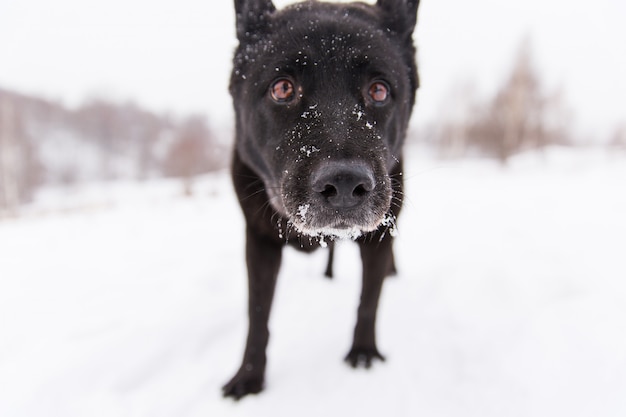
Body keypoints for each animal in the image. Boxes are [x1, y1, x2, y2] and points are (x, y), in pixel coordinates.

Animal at [222, 0, 416, 398]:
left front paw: (363, 353)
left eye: (379, 90)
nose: (344, 184)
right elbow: (257, 313)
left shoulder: (377, 238)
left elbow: (369, 300)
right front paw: (248, 377)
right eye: (283, 88)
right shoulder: (258, 240)